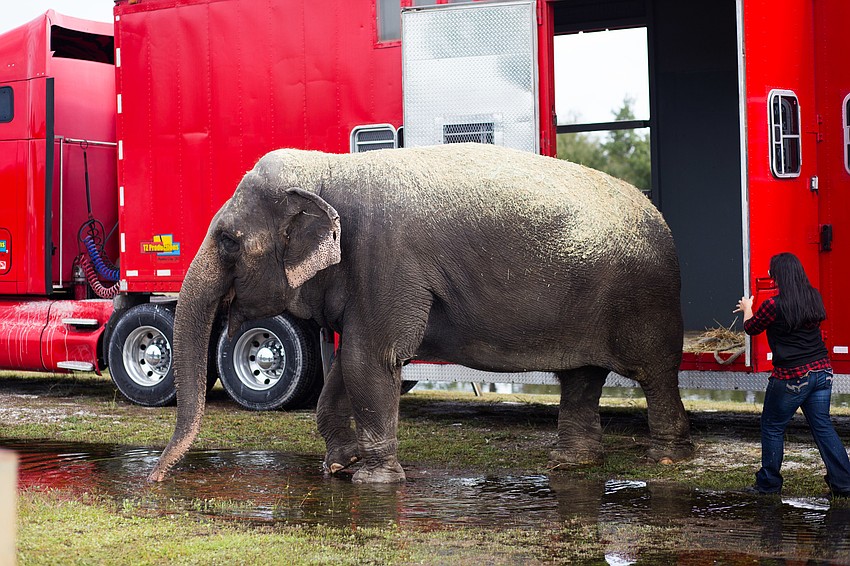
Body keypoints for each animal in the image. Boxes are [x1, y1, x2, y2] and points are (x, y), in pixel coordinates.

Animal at [147, 143, 694, 484]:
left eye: (228, 241)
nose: (153, 480)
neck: (331, 169)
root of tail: (660, 218)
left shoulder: (384, 259)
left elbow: (370, 360)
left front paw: (372, 481)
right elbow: (350, 366)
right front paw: (339, 468)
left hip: (646, 298)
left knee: (654, 370)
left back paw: (667, 458)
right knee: (582, 374)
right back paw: (571, 464)